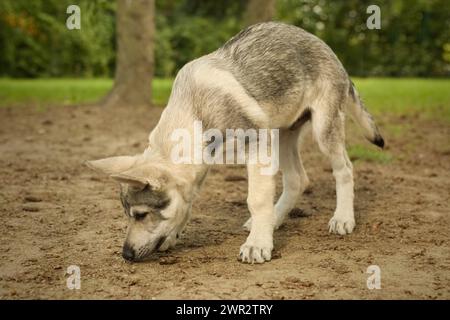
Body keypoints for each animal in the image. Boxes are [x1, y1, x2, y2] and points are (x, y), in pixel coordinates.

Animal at [87, 21, 384, 264]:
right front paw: (174, 235)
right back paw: (274, 221)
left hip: (323, 131)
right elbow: (188, 203)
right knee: (298, 179)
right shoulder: (205, 165)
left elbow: (257, 199)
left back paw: (342, 218)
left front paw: (257, 245)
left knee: (344, 170)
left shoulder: (257, 147)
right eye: (128, 215)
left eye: (140, 214)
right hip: (282, 136)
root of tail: (327, 48)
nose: (125, 255)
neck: (196, 111)